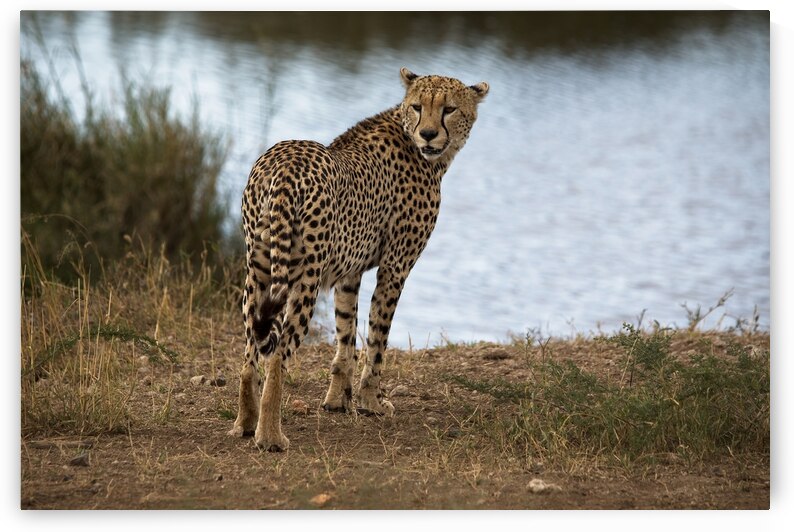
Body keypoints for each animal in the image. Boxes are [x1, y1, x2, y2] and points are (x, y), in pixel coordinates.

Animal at [228, 67, 489, 451]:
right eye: (418, 106)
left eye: (449, 109)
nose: (428, 134)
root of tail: (285, 159)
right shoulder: (395, 267)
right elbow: (377, 337)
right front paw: (370, 402)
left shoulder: (348, 273)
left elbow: (346, 335)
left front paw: (337, 400)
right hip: (304, 278)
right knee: (277, 354)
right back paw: (270, 436)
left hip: (258, 267)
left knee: (250, 350)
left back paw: (245, 423)